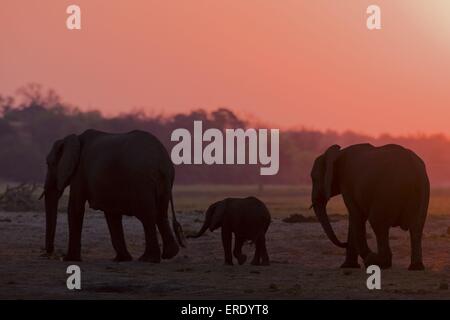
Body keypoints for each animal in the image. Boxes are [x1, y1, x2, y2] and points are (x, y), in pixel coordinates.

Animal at [40, 129, 185, 264]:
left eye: (49, 164)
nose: (49, 253)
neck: (73, 139)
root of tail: (161, 160)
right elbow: (112, 214)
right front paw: (122, 259)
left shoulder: (79, 172)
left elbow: (75, 208)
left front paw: (69, 260)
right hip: (163, 181)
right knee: (160, 214)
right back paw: (169, 254)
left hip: (141, 181)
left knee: (147, 215)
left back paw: (148, 259)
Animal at [310, 144, 428, 272]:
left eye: (314, 178)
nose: (344, 243)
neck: (338, 153)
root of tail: (413, 167)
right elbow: (354, 220)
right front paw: (348, 266)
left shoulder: (348, 184)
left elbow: (356, 216)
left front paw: (365, 260)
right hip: (422, 190)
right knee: (416, 227)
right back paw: (416, 267)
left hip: (387, 192)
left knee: (378, 224)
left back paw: (376, 262)